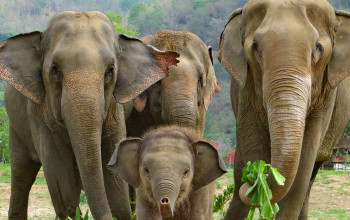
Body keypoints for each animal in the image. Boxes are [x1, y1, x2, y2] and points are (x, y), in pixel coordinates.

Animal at [0, 10, 179, 220]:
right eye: (55, 69)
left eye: (110, 71)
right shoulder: (38, 113)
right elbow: (61, 180)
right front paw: (72, 212)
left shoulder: (114, 110)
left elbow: (113, 176)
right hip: (16, 126)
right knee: (22, 172)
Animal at [219, 0, 350, 219]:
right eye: (255, 47)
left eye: (318, 47)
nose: (250, 181)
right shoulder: (246, 90)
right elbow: (253, 145)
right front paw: (257, 178)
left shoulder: (326, 96)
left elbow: (303, 164)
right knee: (238, 173)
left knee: (309, 179)